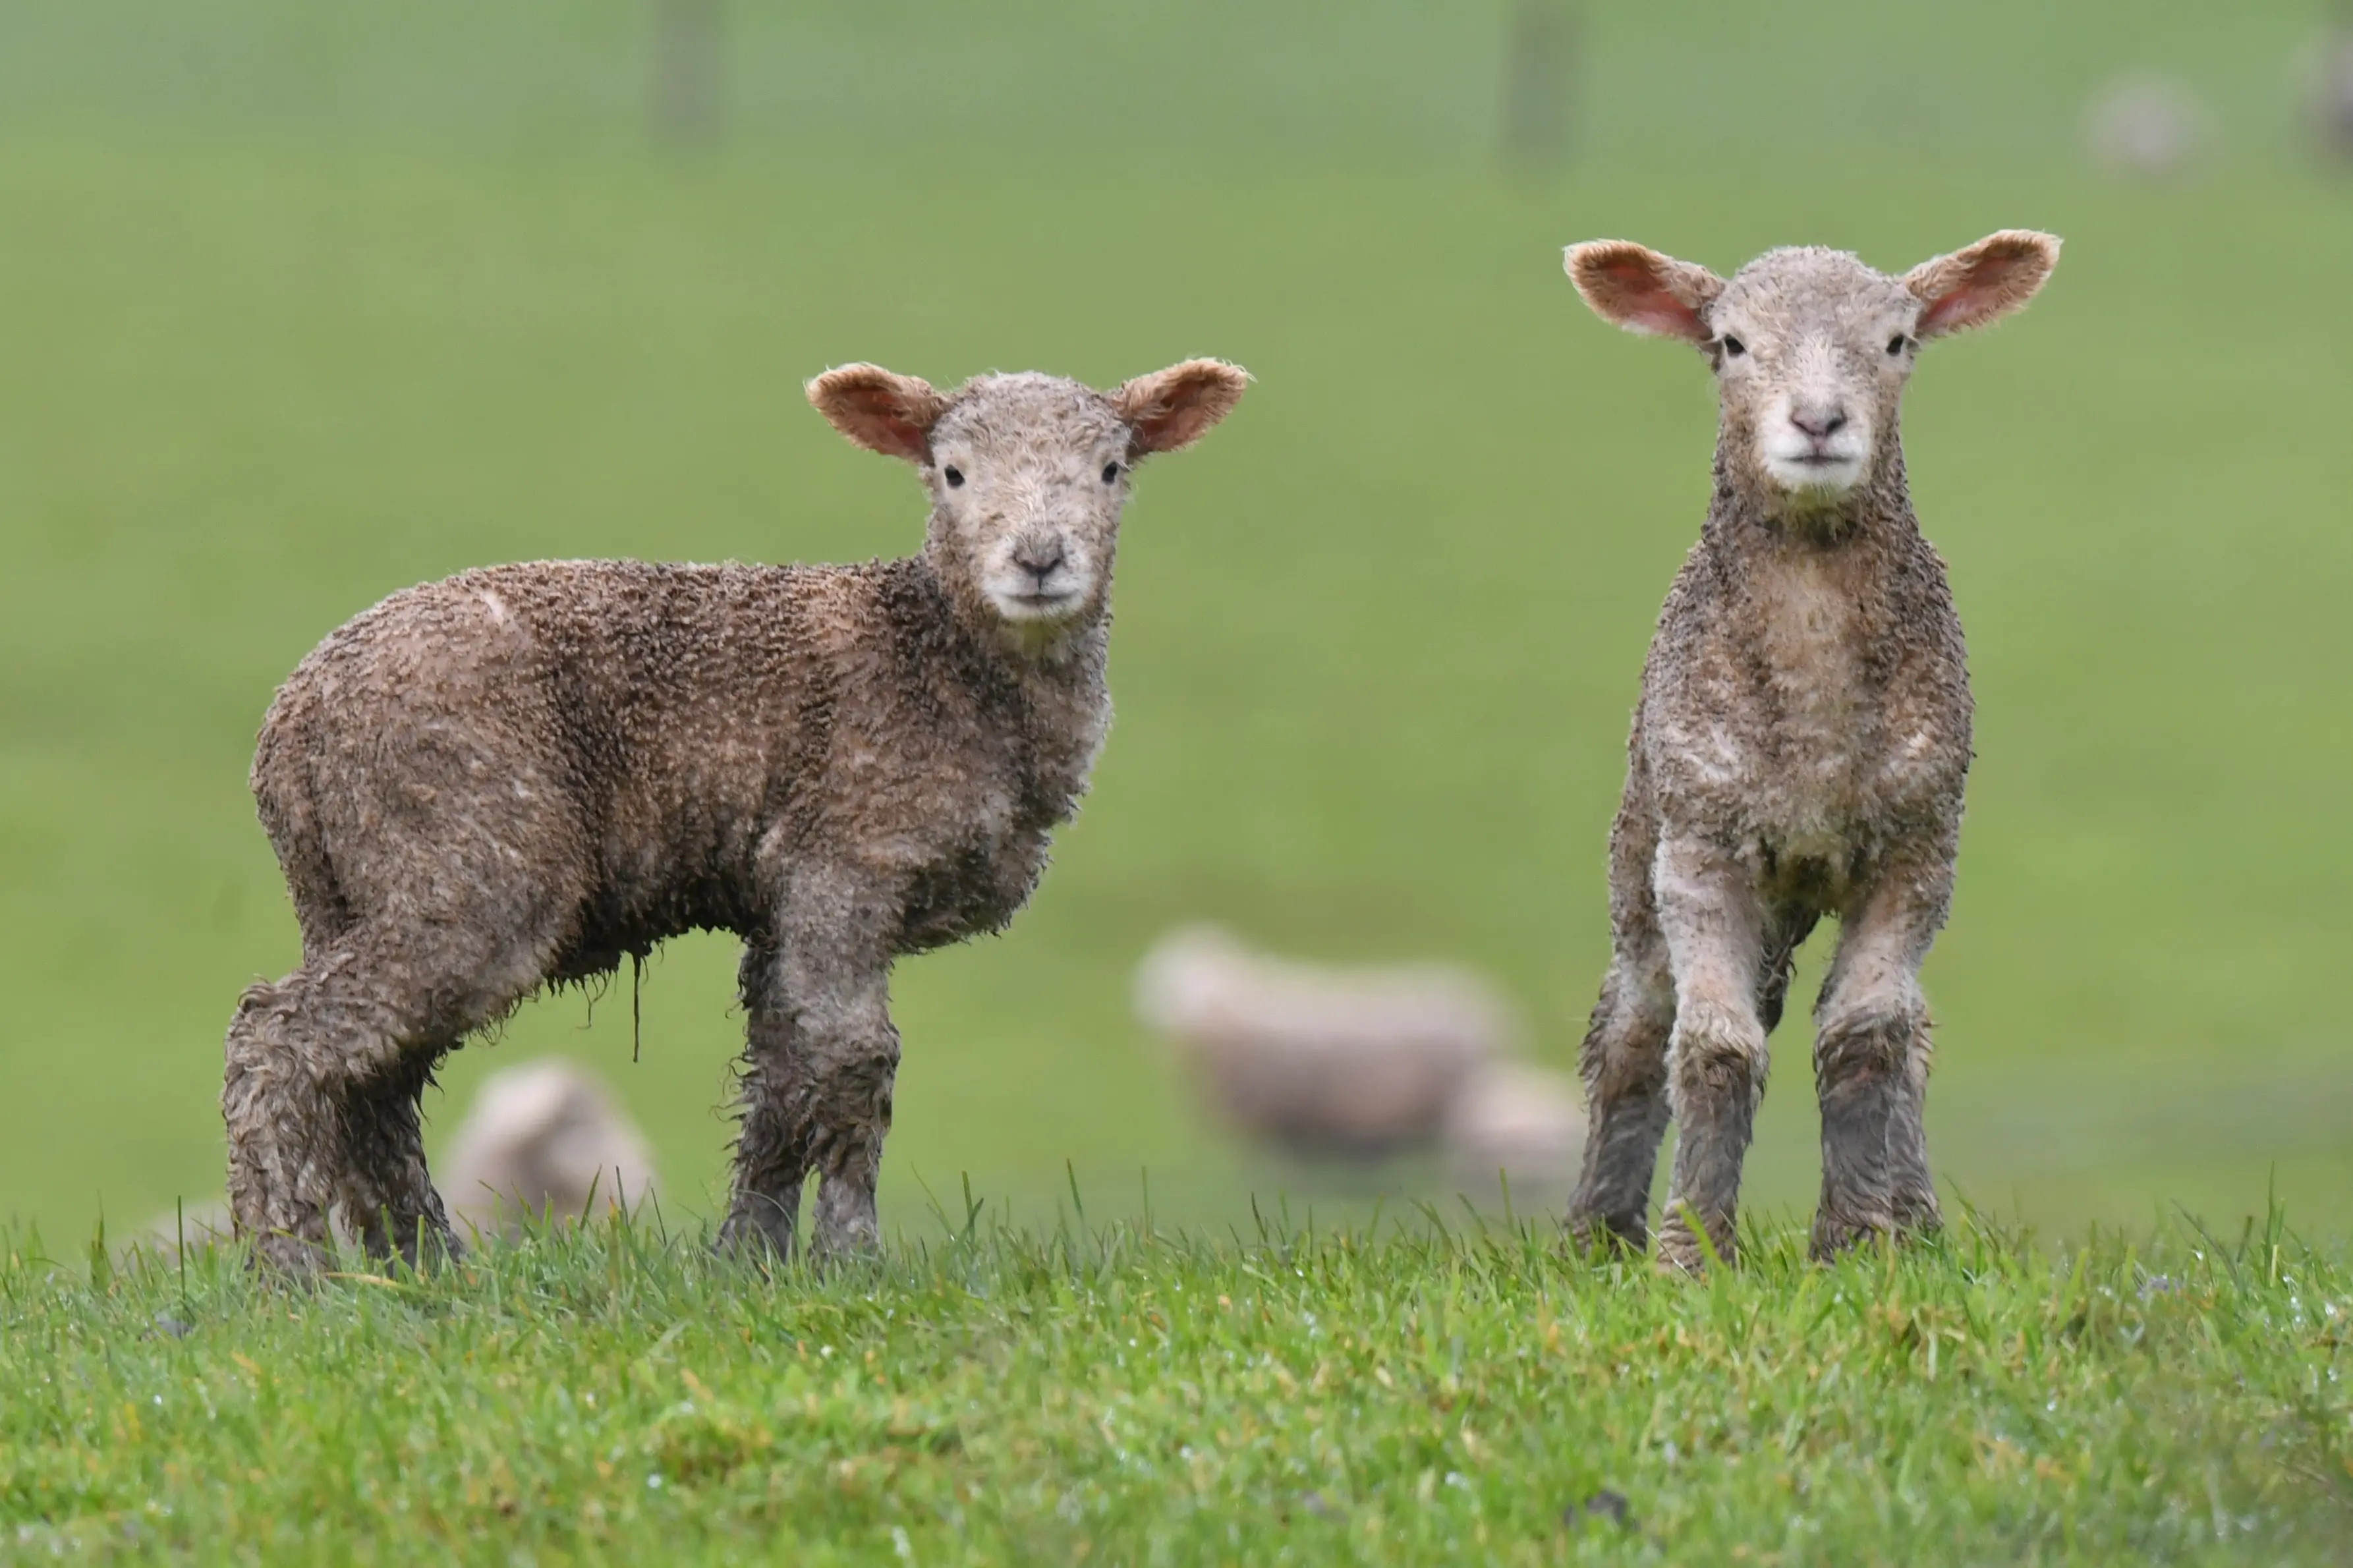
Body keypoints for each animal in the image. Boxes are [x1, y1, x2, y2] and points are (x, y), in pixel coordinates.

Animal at [1559, 231, 2059, 1269]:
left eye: (1897, 341)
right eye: (1731, 344)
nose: (1819, 420)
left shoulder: (1918, 848)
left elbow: (1864, 1036)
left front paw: (1861, 1241)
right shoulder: (1701, 847)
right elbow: (1714, 1047)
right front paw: (1690, 1259)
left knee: (1909, 1033)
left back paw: (1917, 1218)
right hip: (1638, 857)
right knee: (1630, 1030)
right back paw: (1597, 1236)